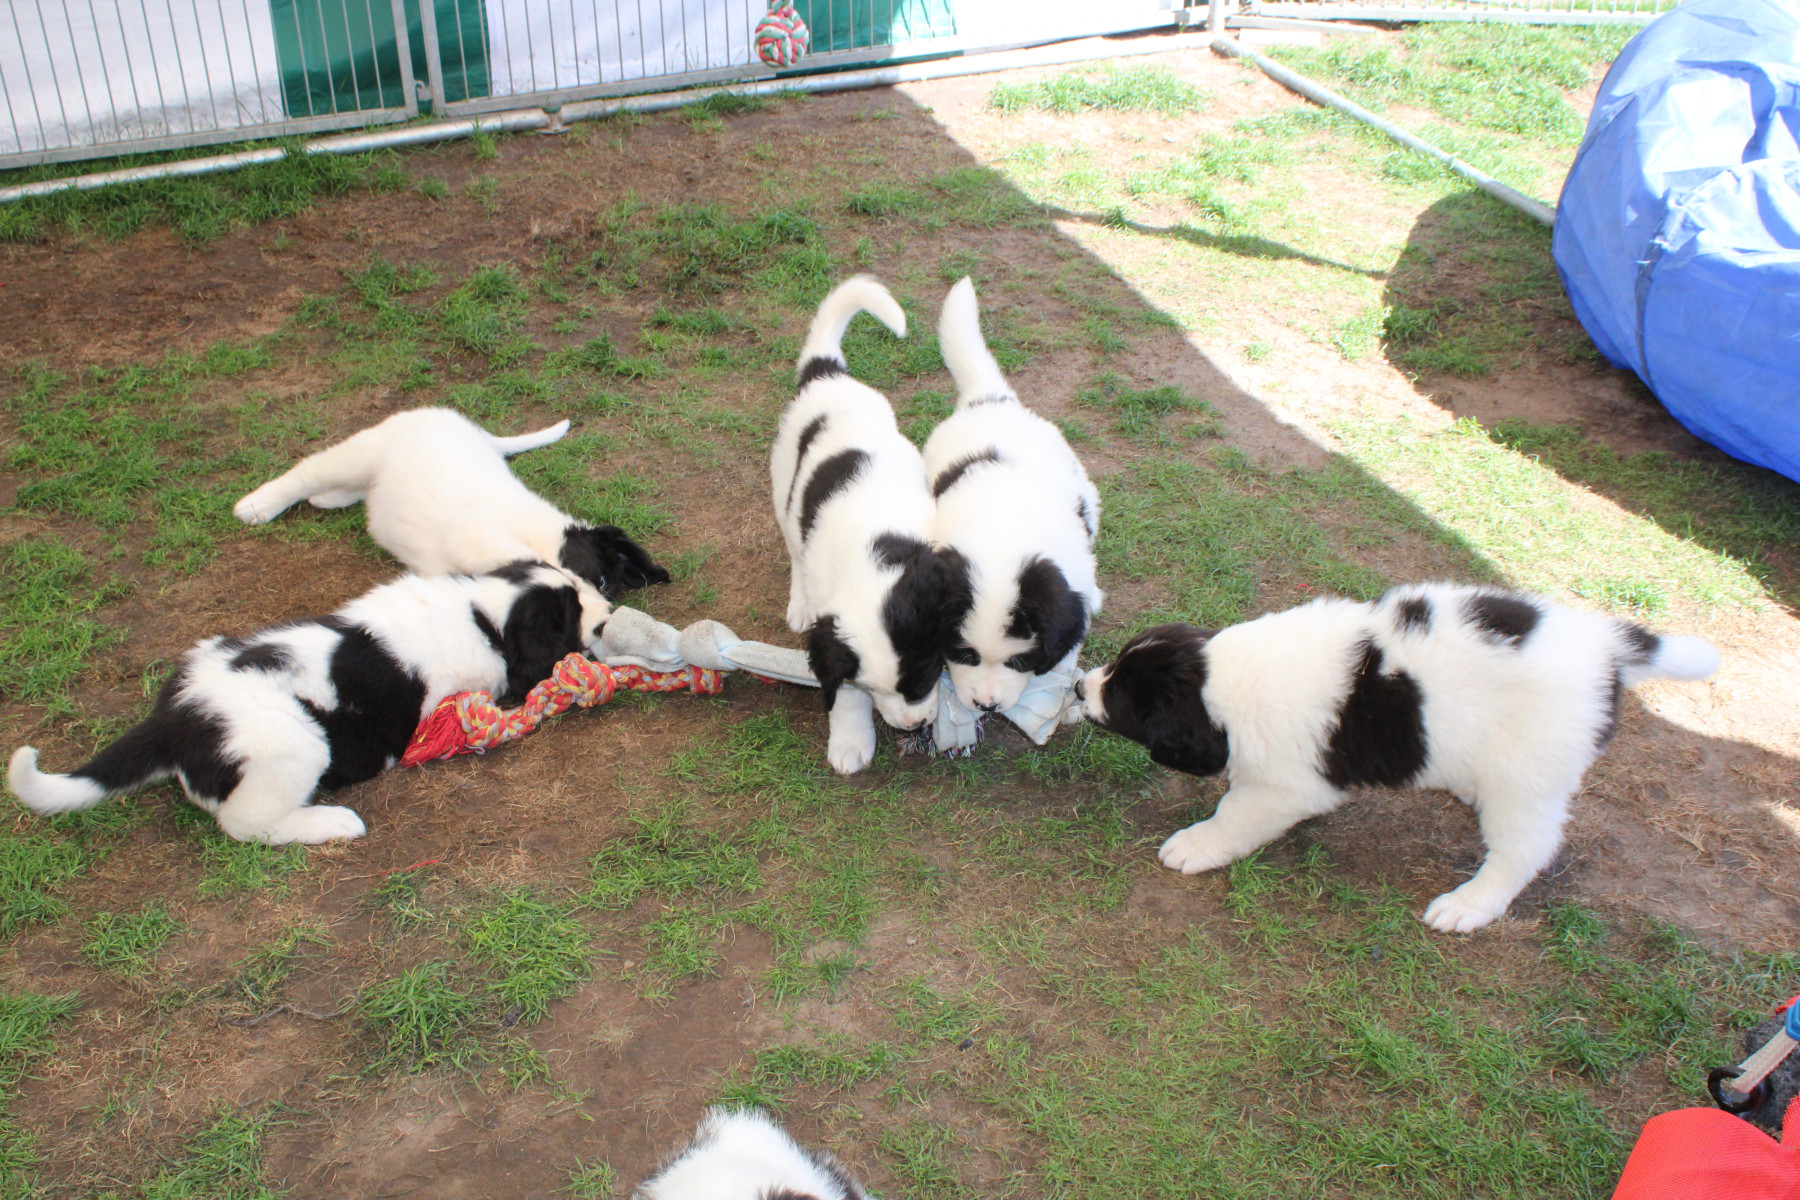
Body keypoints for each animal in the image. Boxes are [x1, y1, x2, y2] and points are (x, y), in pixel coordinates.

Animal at [7, 563, 606, 845]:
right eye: (569, 614)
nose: (607, 617)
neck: (482, 613)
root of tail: (174, 718)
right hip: (295, 746)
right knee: (244, 823)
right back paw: (332, 822)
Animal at [233, 408, 669, 603]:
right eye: (597, 578)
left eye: (606, 586)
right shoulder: (477, 533)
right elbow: (523, 558)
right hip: (363, 450)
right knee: (309, 470)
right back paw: (257, 505)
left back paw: (328, 499)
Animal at [772, 275, 969, 774]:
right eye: (873, 688)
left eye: (924, 673)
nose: (911, 726)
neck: (871, 553)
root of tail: (827, 375)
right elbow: (842, 695)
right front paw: (850, 740)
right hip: (783, 485)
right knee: (794, 548)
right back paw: (798, 602)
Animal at [1076, 584, 1719, 932]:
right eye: (1115, 670)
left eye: (1125, 698)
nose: (1081, 687)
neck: (1225, 679)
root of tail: (1608, 650)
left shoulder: (1284, 785)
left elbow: (1235, 814)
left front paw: (1194, 845)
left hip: (1529, 772)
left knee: (1526, 850)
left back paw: (1468, 905)